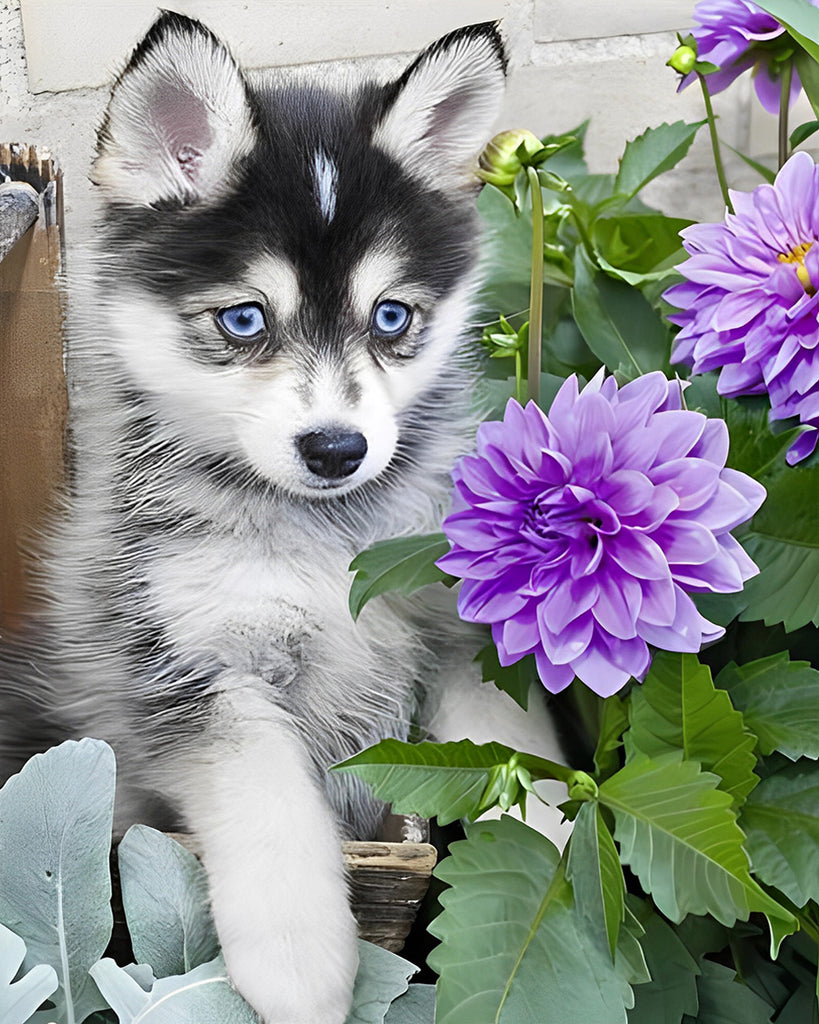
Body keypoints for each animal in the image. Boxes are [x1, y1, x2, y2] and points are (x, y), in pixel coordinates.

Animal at [0, 14, 548, 1024]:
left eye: (391, 316)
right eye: (245, 320)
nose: (335, 448)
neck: (324, 539)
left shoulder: (457, 625)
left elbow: (512, 740)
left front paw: (559, 835)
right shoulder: (192, 665)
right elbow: (268, 800)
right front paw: (302, 968)